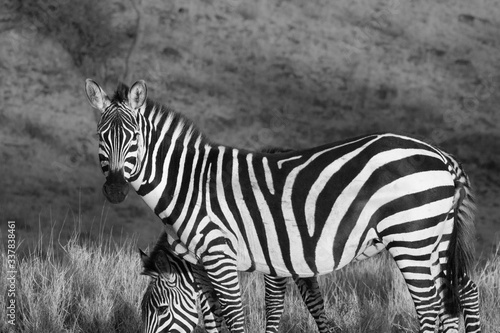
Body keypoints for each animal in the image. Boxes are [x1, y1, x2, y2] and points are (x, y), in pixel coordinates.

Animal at [85, 79, 480, 330]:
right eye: (101, 138)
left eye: (134, 138)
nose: (115, 191)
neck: (192, 184)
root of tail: (442, 156)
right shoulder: (215, 263)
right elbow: (216, 316)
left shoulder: (223, 256)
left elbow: (239, 316)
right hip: (436, 239)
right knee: (460, 295)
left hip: (411, 238)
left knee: (430, 308)